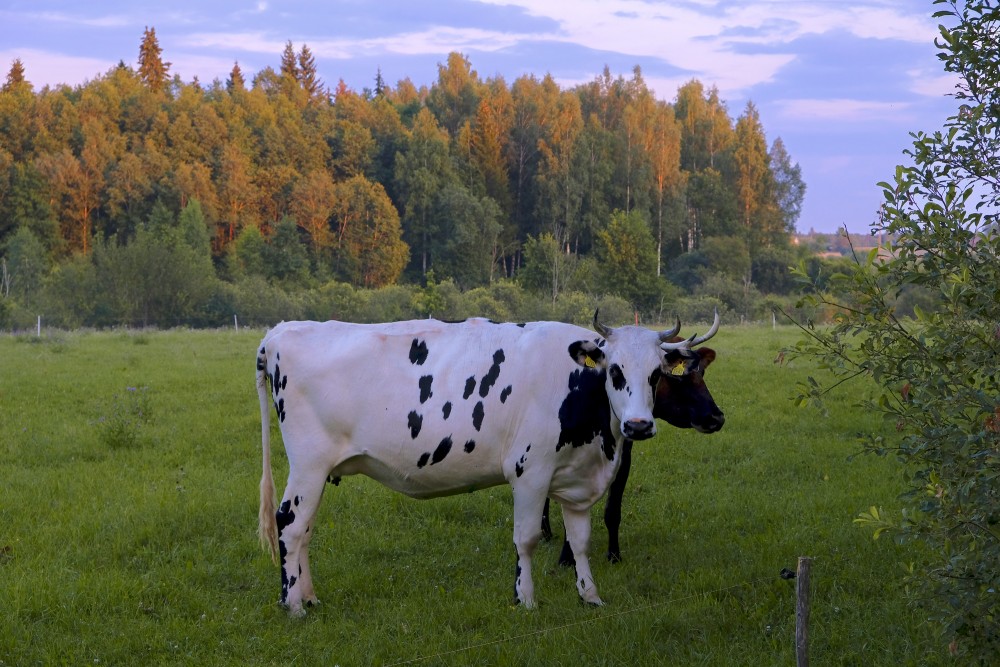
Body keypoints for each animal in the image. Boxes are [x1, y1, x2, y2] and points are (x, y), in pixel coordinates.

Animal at [258, 316, 708, 620]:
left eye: (656, 375)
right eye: (614, 370)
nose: (638, 425)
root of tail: (280, 332)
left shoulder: (577, 479)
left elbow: (580, 542)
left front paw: (590, 595)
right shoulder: (530, 472)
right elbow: (526, 539)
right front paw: (525, 599)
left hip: (317, 471)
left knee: (305, 531)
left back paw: (309, 595)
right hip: (308, 464)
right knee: (290, 524)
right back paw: (293, 605)